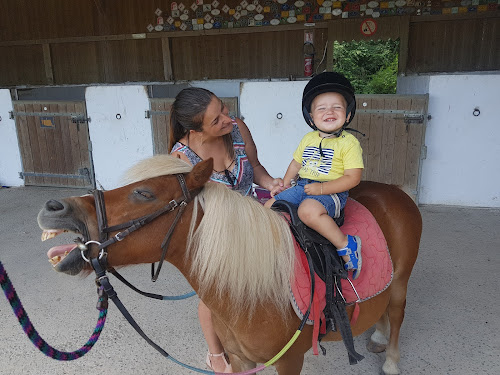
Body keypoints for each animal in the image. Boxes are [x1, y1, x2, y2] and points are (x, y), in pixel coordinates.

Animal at [37, 154, 422, 374]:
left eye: (143, 193)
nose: (55, 207)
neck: (254, 292)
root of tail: (395, 191)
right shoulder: (239, 359)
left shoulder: (289, 361)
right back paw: (377, 335)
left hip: (402, 281)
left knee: (397, 311)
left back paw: (390, 359)